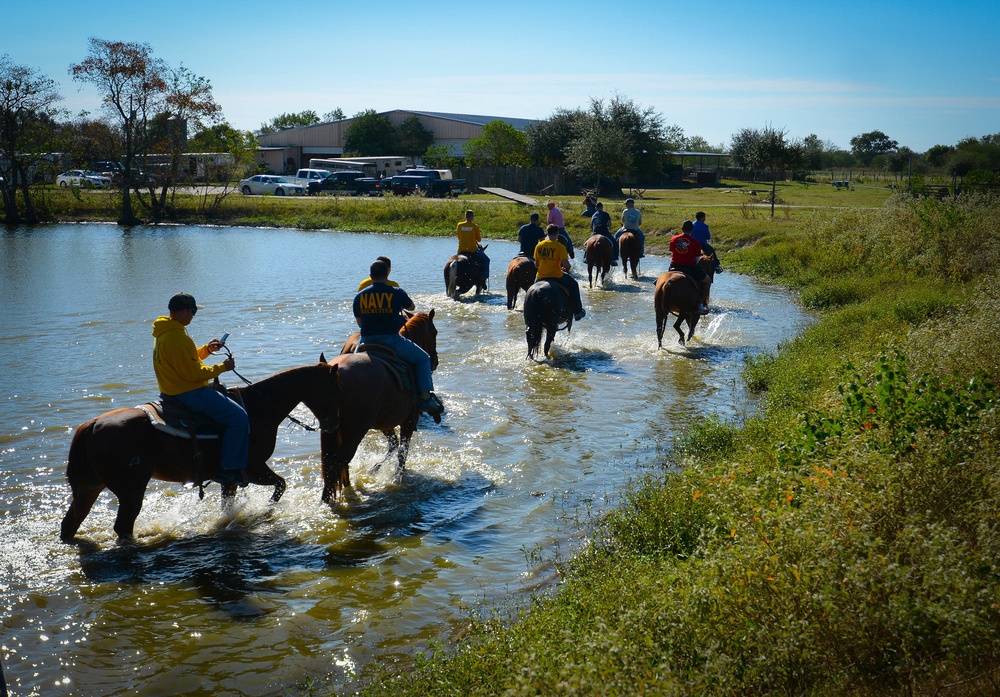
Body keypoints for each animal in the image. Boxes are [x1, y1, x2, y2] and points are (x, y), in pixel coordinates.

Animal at [63, 362, 344, 540]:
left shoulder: (230, 478)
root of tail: (91, 425)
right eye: (336, 387)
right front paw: (263, 512)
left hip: (89, 487)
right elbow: (281, 486)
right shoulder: (254, 469)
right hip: (131, 491)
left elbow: (228, 505)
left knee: (71, 524)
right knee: (122, 526)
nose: (333, 424)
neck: (258, 408)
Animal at [322, 310, 440, 500]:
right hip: (355, 430)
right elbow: (402, 451)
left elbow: (393, 445)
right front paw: (397, 476)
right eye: (434, 332)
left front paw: (376, 468)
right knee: (341, 462)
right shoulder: (409, 420)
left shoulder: (384, 422)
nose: (435, 361)